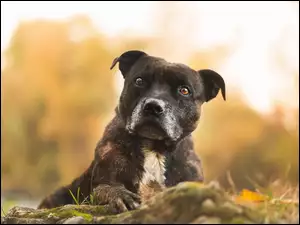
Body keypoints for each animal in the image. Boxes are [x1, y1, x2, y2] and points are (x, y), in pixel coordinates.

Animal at [37, 49, 225, 213]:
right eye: (139, 81)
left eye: (184, 90)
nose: (153, 106)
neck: (154, 148)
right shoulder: (104, 179)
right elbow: (106, 189)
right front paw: (121, 196)